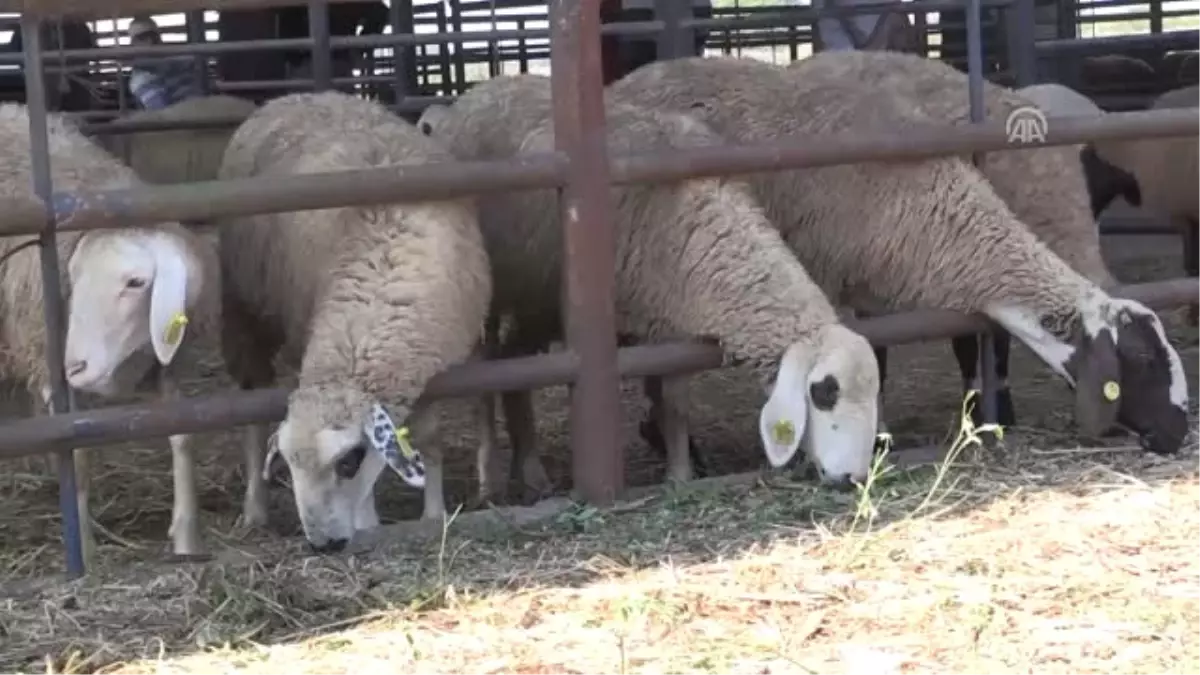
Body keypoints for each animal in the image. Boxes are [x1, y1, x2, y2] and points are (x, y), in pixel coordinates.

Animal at [0, 100, 241, 562]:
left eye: (135, 282)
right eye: (72, 275)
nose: (74, 366)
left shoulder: (167, 365)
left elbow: (184, 438)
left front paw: (187, 537)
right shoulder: (47, 364)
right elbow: (76, 455)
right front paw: (86, 549)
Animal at [217, 90, 492, 552]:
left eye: (349, 462)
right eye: (289, 464)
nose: (323, 544)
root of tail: (293, 95)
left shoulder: (442, 361)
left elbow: (429, 440)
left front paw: (434, 514)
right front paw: (369, 521)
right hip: (244, 314)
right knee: (251, 412)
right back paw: (255, 510)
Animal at [420, 73, 883, 494]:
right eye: (823, 392)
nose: (853, 479)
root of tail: (473, 95)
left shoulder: (671, 320)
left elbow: (675, 404)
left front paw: (679, 471)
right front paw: (678, 472)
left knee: (513, 360)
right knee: (487, 373)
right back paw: (496, 477)